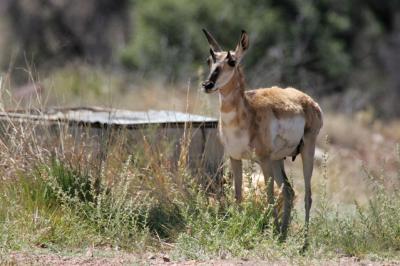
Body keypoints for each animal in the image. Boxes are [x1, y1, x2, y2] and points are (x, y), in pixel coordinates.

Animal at [202, 28, 324, 239]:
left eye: (232, 61)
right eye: (210, 60)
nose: (208, 84)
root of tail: (309, 101)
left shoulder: (263, 159)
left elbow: (269, 196)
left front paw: (269, 231)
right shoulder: (235, 158)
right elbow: (238, 195)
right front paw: (240, 227)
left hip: (305, 150)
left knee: (307, 195)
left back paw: (303, 240)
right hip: (277, 160)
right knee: (289, 191)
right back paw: (283, 234)